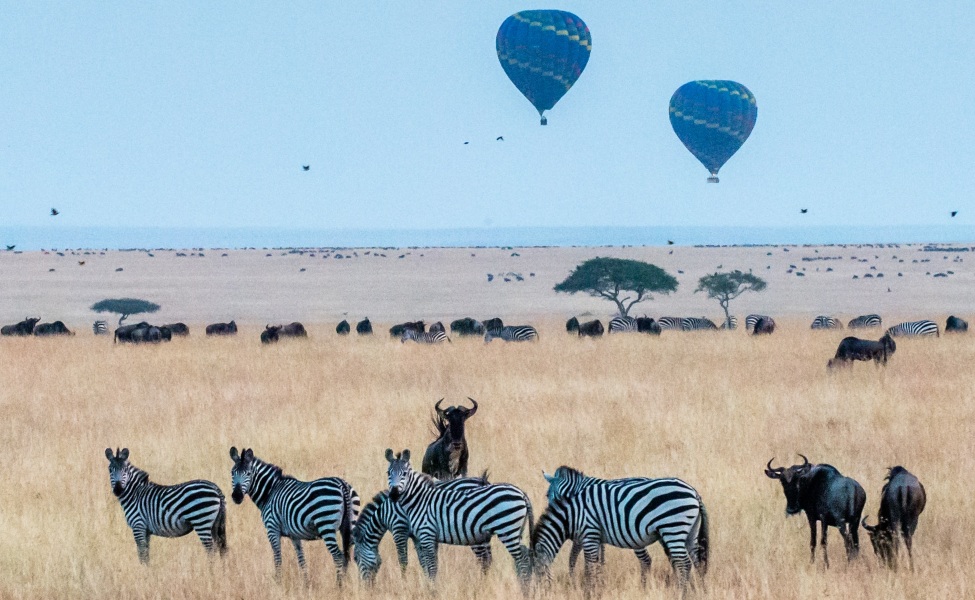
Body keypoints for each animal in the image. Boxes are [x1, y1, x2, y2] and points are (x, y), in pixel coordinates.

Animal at [231, 446, 360, 580]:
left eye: (248, 473)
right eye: (232, 473)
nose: (236, 496)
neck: (270, 491)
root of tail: (342, 485)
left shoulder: (272, 529)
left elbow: (277, 558)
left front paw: (278, 581)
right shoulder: (295, 535)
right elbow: (301, 560)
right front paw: (306, 582)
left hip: (326, 525)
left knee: (338, 557)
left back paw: (339, 583)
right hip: (351, 524)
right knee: (350, 555)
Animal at [352, 474, 496, 580]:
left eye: (355, 559)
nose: (365, 588)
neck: (385, 512)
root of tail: (482, 481)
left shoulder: (399, 528)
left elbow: (403, 560)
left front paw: (404, 582)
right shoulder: (417, 535)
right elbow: (424, 562)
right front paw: (427, 581)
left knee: (484, 560)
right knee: (488, 559)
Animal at [532, 476, 708, 592]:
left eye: (538, 573)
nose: (537, 593)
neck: (573, 515)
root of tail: (693, 492)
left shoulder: (589, 533)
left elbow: (589, 565)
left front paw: (590, 590)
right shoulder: (594, 538)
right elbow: (594, 564)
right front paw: (595, 587)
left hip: (673, 528)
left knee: (684, 563)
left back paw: (681, 592)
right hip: (689, 533)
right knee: (697, 561)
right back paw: (700, 590)